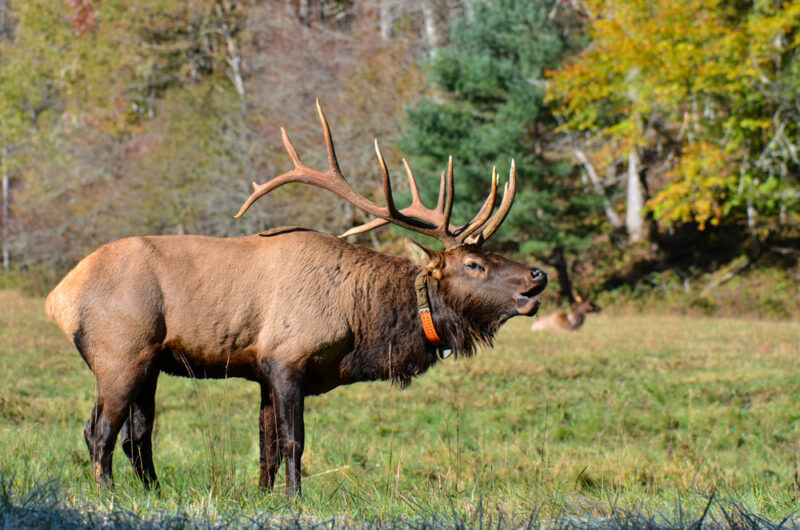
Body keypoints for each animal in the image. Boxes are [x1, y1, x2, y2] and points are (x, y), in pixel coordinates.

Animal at [47, 100, 548, 496]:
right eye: (474, 264)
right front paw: (295, 498)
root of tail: (59, 297)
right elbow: (293, 442)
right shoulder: (288, 359)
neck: (362, 324)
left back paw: (154, 491)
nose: (537, 275)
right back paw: (108, 495)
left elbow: (265, 446)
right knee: (100, 431)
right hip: (120, 353)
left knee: (138, 435)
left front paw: (265, 496)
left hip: (148, 363)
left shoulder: (262, 371)